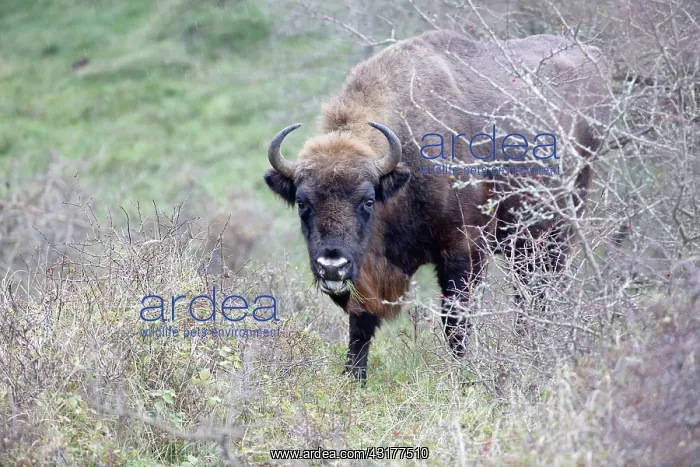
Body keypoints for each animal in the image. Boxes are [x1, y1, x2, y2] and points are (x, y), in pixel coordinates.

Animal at [264, 30, 611, 381]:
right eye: (303, 203)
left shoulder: (462, 250)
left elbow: (456, 321)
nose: (332, 265)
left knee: (541, 291)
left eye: (368, 200)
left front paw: (463, 375)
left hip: (557, 232)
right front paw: (354, 379)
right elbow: (360, 327)